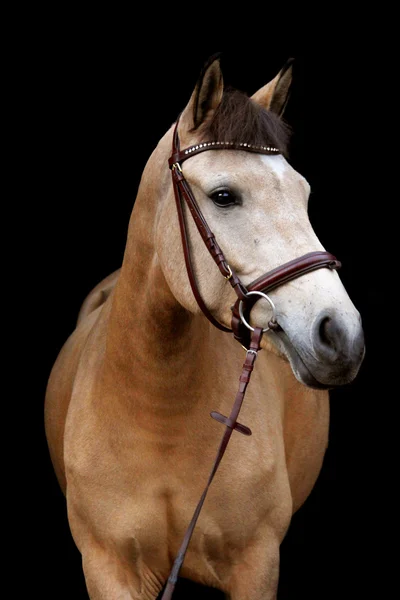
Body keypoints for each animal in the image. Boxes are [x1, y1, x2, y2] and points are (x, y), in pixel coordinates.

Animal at [44, 54, 366, 596]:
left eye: (303, 194)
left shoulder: (256, 566)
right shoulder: (107, 568)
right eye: (224, 195)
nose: (341, 335)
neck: (158, 411)